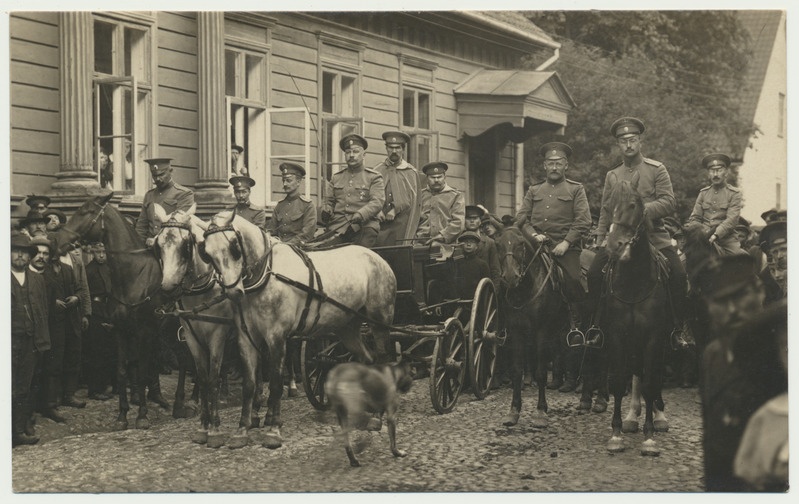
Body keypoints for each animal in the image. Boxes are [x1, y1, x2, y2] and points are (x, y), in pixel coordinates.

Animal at [202, 211, 398, 446]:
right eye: (207, 253)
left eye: (234, 247)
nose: (233, 293)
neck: (267, 273)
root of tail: (379, 258)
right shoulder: (246, 336)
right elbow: (249, 384)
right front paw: (242, 430)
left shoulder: (276, 336)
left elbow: (276, 383)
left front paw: (273, 430)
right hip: (347, 328)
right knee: (367, 360)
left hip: (379, 322)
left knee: (382, 362)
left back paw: (377, 416)